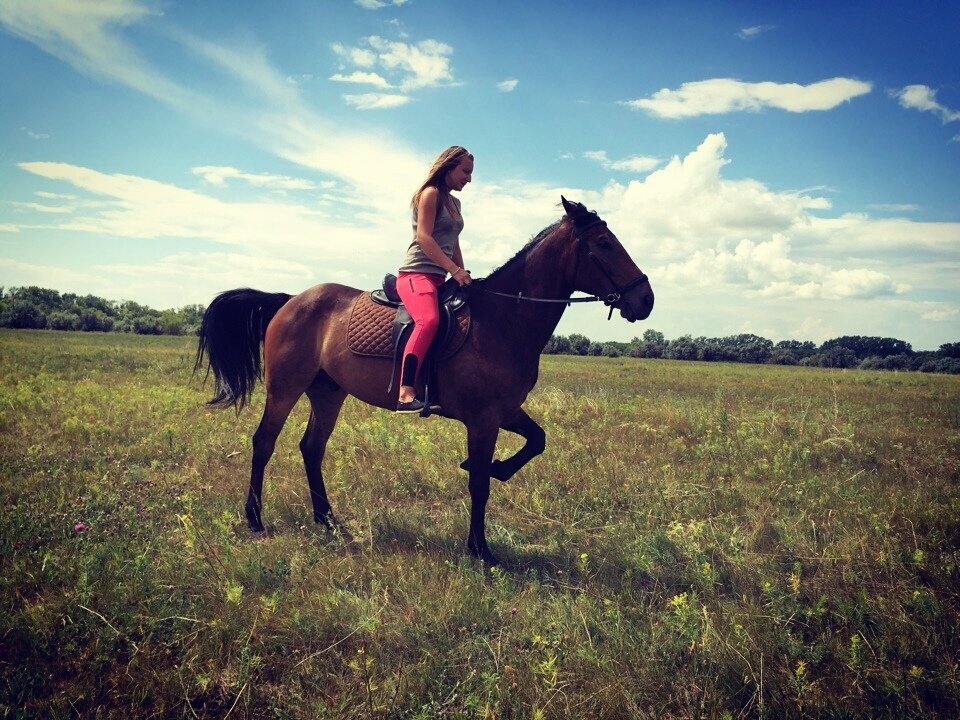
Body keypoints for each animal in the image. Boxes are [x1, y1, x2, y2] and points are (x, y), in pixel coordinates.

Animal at [197, 195, 660, 564]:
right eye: (604, 244)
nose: (646, 299)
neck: (502, 319)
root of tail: (290, 300)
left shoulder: (504, 411)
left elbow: (536, 442)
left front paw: (498, 470)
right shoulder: (483, 419)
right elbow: (479, 485)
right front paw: (480, 549)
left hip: (328, 393)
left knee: (312, 449)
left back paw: (328, 521)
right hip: (285, 388)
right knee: (264, 442)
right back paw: (255, 519)